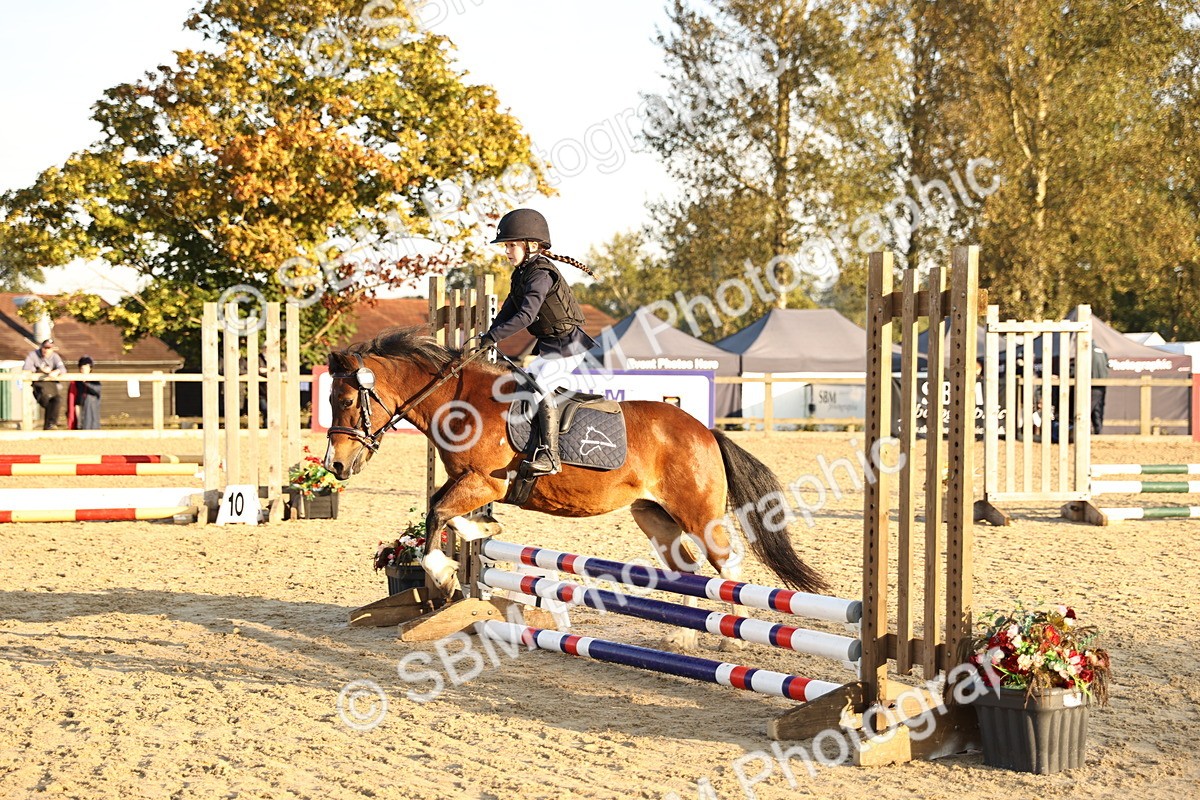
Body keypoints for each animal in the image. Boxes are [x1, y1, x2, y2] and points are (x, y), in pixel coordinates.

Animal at [324, 327, 829, 600]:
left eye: (346, 401)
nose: (336, 467)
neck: (459, 399)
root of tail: (705, 432)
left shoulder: (484, 482)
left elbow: (437, 513)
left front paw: (444, 575)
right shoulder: (468, 481)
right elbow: (443, 510)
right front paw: (482, 530)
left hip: (699, 513)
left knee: (728, 568)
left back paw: (731, 641)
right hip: (655, 515)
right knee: (688, 569)